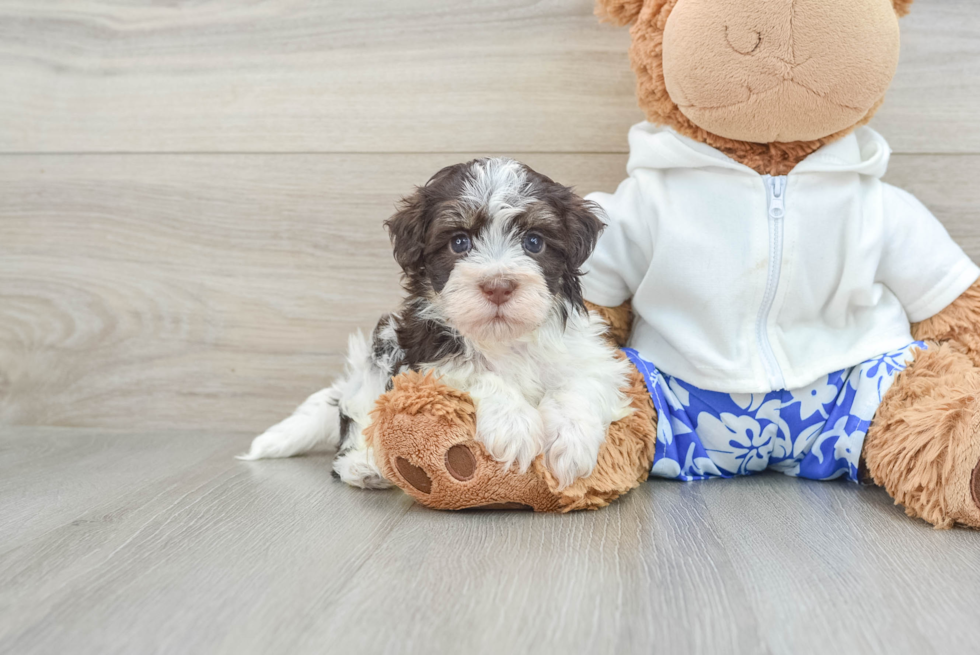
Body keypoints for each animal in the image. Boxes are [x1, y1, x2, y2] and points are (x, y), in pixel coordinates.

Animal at [241, 156, 632, 490]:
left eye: (533, 241)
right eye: (459, 242)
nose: (498, 286)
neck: (502, 338)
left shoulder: (589, 355)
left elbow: (578, 384)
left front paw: (570, 442)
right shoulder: (423, 356)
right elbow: (477, 371)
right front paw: (515, 426)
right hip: (377, 360)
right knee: (359, 420)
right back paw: (364, 466)